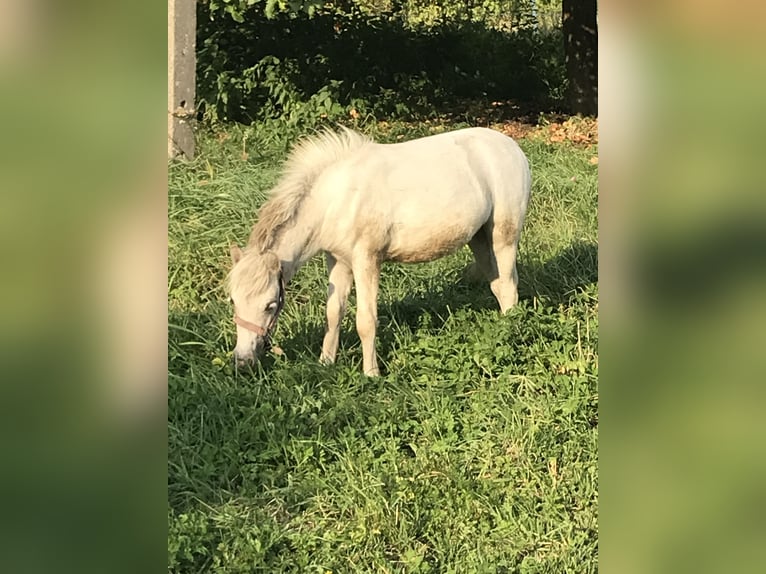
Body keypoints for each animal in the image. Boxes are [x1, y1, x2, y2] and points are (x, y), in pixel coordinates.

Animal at [225, 127, 532, 378]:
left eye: (270, 305)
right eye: (233, 301)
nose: (243, 360)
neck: (336, 199)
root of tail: (513, 148)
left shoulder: (366, 260)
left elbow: (366, 320)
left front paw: (371, 373)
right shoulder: (337, 260)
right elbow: (333, 313)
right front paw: (326, 362)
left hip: (503, 236)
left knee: (508, 287)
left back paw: (509, 336)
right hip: (479, 238)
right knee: (498, 285)